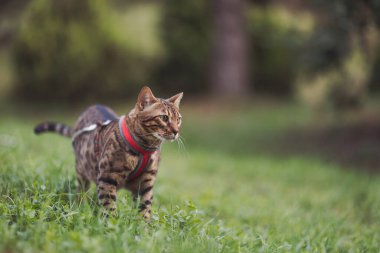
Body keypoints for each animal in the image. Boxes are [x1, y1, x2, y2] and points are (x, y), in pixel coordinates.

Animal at [35, 87, 183, 219]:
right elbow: (109, 207)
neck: (145, 148)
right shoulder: (107, 177)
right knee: (81, 192)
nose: (176, 131)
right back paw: (81, 207)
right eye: (164, 117)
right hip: (82, 171)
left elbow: (145, 210)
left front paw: (144, 230)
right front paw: (112, 226)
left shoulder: (146, 183)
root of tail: (94, 105)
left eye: (179, 119)